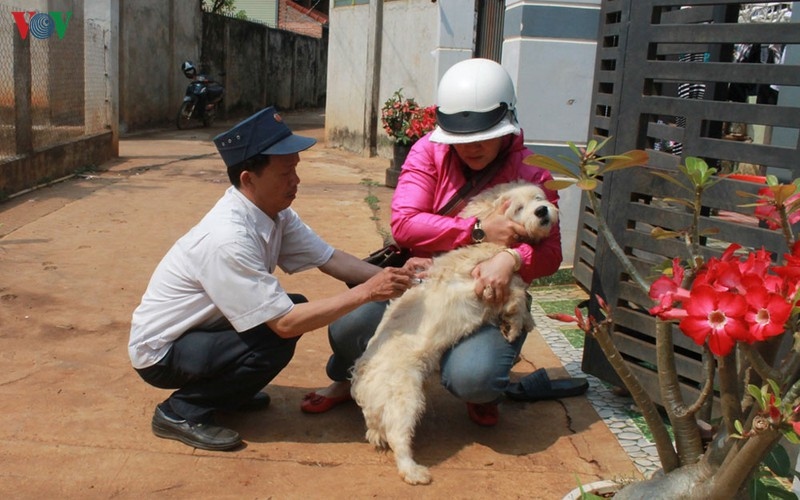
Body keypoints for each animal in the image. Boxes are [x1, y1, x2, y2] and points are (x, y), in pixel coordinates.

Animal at [350, 181, 556, 484]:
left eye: (539, 197)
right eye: (519, 207)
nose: (542, 211)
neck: (487, 246)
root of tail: (362, 378)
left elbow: (520, 291)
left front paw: (524, 322)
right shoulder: (493, 283)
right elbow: (517, 296)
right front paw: (516, 325)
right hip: (405, 399)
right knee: (399, 438)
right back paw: (414, 471)